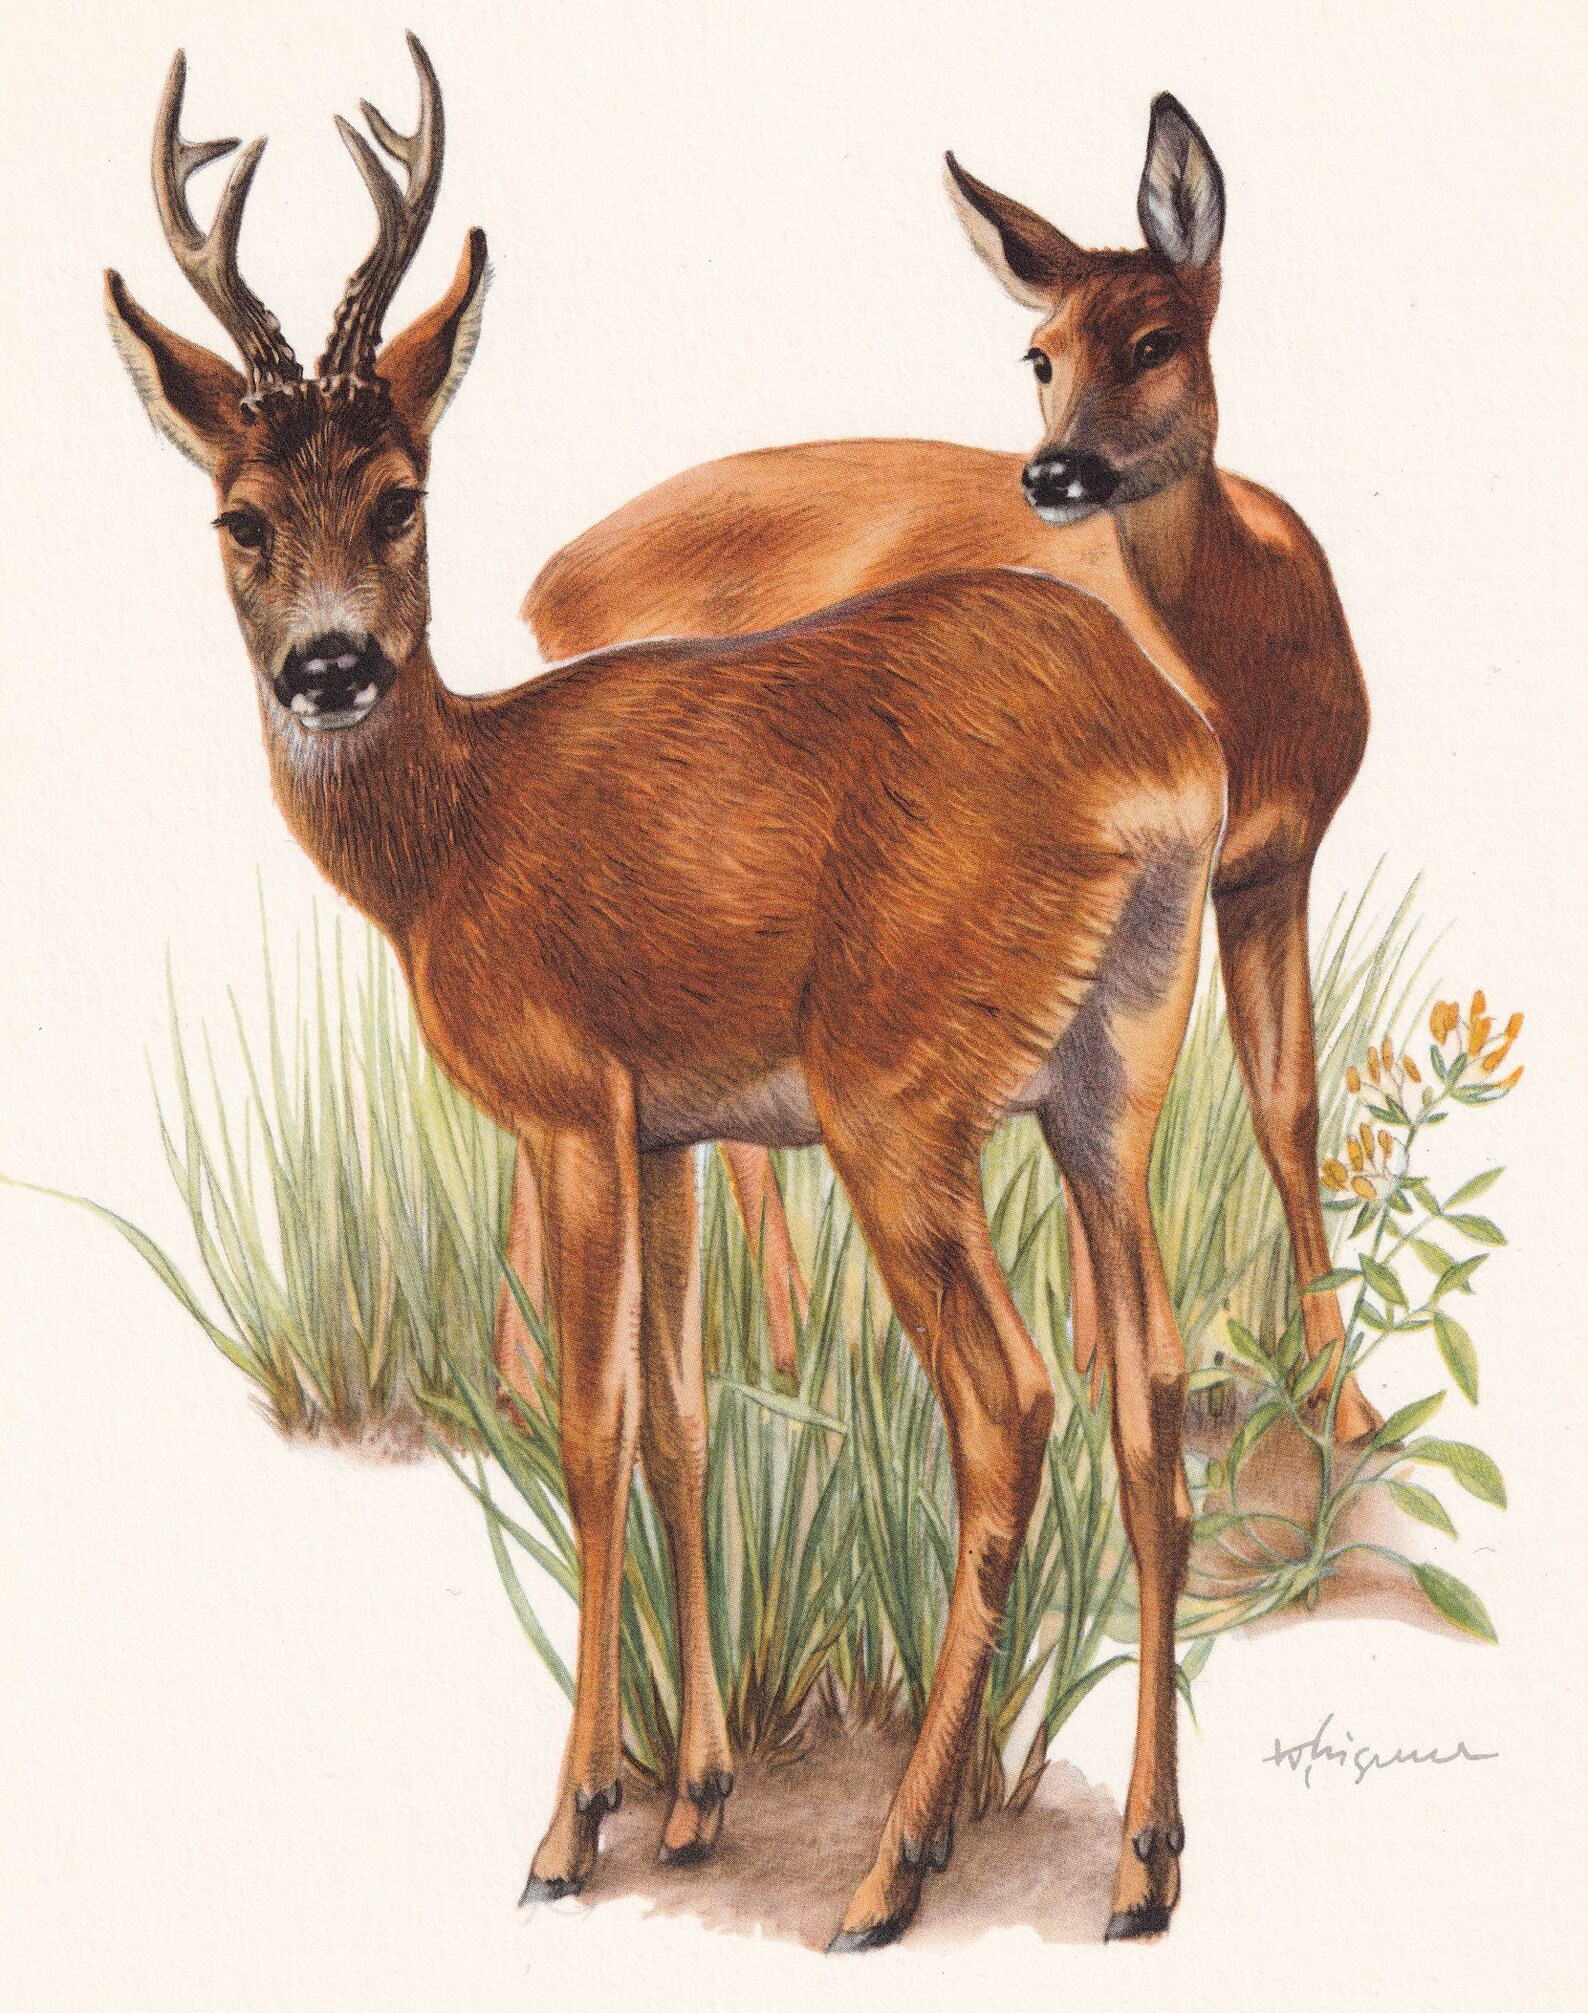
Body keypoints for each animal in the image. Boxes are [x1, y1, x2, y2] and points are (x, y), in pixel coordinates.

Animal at [108, 39, 1229, 1949]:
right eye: (238, 518)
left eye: (401, 494)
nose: (328, 665)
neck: (457, 830)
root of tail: (1160, 754)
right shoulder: (674, 1127)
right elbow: (690, 1420)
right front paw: (697, 1794)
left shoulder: (570, 1101)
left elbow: (589, 1424)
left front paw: (571, 1824)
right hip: (1114, 1070)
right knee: (1146, 1392)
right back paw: (1145, 1868)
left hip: (895, 1085)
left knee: (1012, 1402)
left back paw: (889, 1868)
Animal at [511, 93, 1381, 1445]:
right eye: (1039, 355)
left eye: (1156, 339)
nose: (1055, 475)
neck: (1248, 683)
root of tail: (546, 587)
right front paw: (1128, 1378)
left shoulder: (1273, 864)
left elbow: (1283, 1108)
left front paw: (1346, 1412)